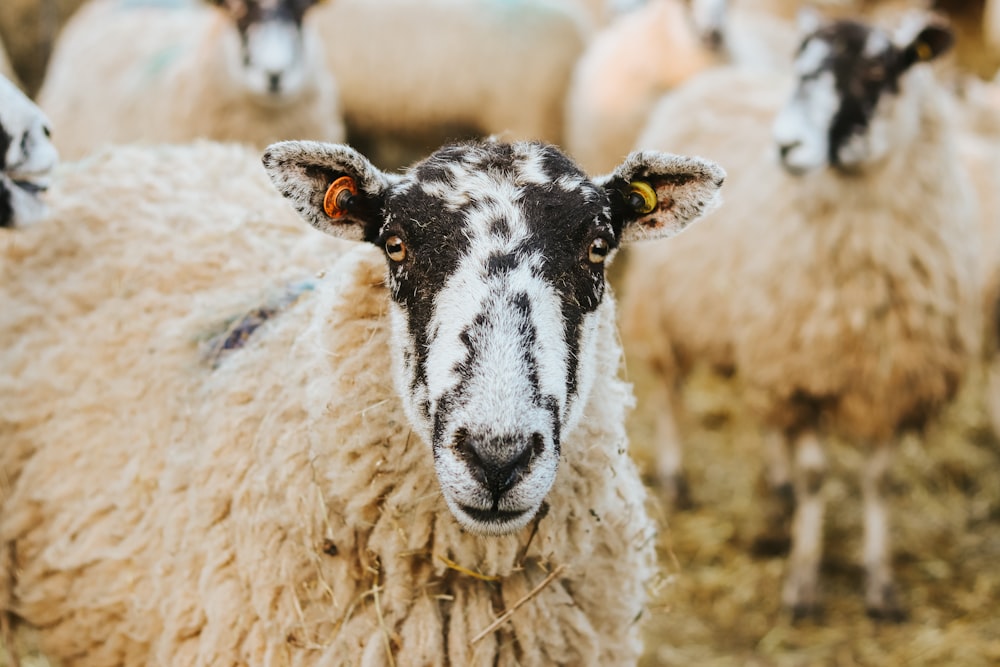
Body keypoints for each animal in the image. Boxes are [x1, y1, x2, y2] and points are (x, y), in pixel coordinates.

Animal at [620, 11, 980, 620]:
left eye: (878, 70)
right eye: (800, 66)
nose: (786, 144)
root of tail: (716, 75)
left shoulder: (889, 379)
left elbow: (879, 480)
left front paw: (881, 586)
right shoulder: (806, 372)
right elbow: (817, 476)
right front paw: (803, 584)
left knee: (771, 423)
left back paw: (776, 489)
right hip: (670, 307)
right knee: (670, 390)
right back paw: (677, 478)